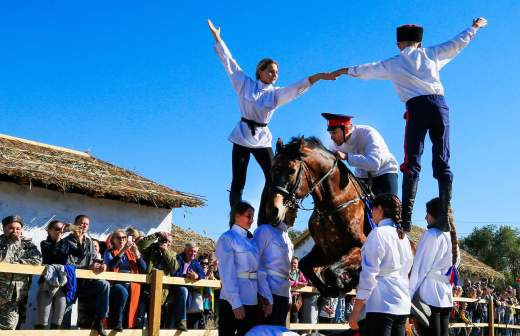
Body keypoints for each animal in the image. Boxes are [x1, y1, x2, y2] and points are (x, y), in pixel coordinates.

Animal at [268, 136, 374, 296]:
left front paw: (342, 285)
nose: (274, 210)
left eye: (292, 170)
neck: (331, 207)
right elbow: (306, 264)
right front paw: (331, 290)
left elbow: (331, 271)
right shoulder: (324, 252)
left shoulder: (359, 247)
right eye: (273, 169)